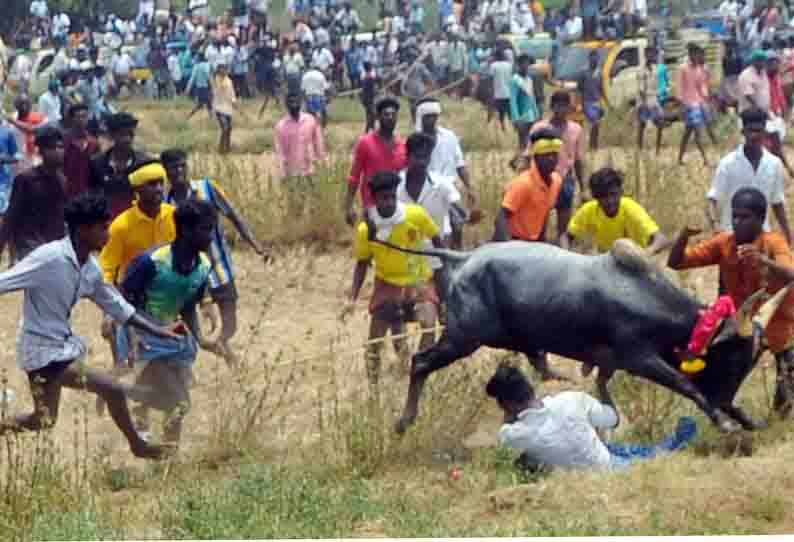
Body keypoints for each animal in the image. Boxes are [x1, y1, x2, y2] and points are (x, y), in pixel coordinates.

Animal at [386, 240, 788, 436]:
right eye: (733, 357)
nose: (725, 400)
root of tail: (465, 256)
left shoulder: (610, 365)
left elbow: (604, 394)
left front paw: (748, 420)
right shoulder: (641, 359)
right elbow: (686, 385)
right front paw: (726, 422)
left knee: (538, 363)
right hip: (462, 339)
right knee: (419, 362)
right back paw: (403, 422)